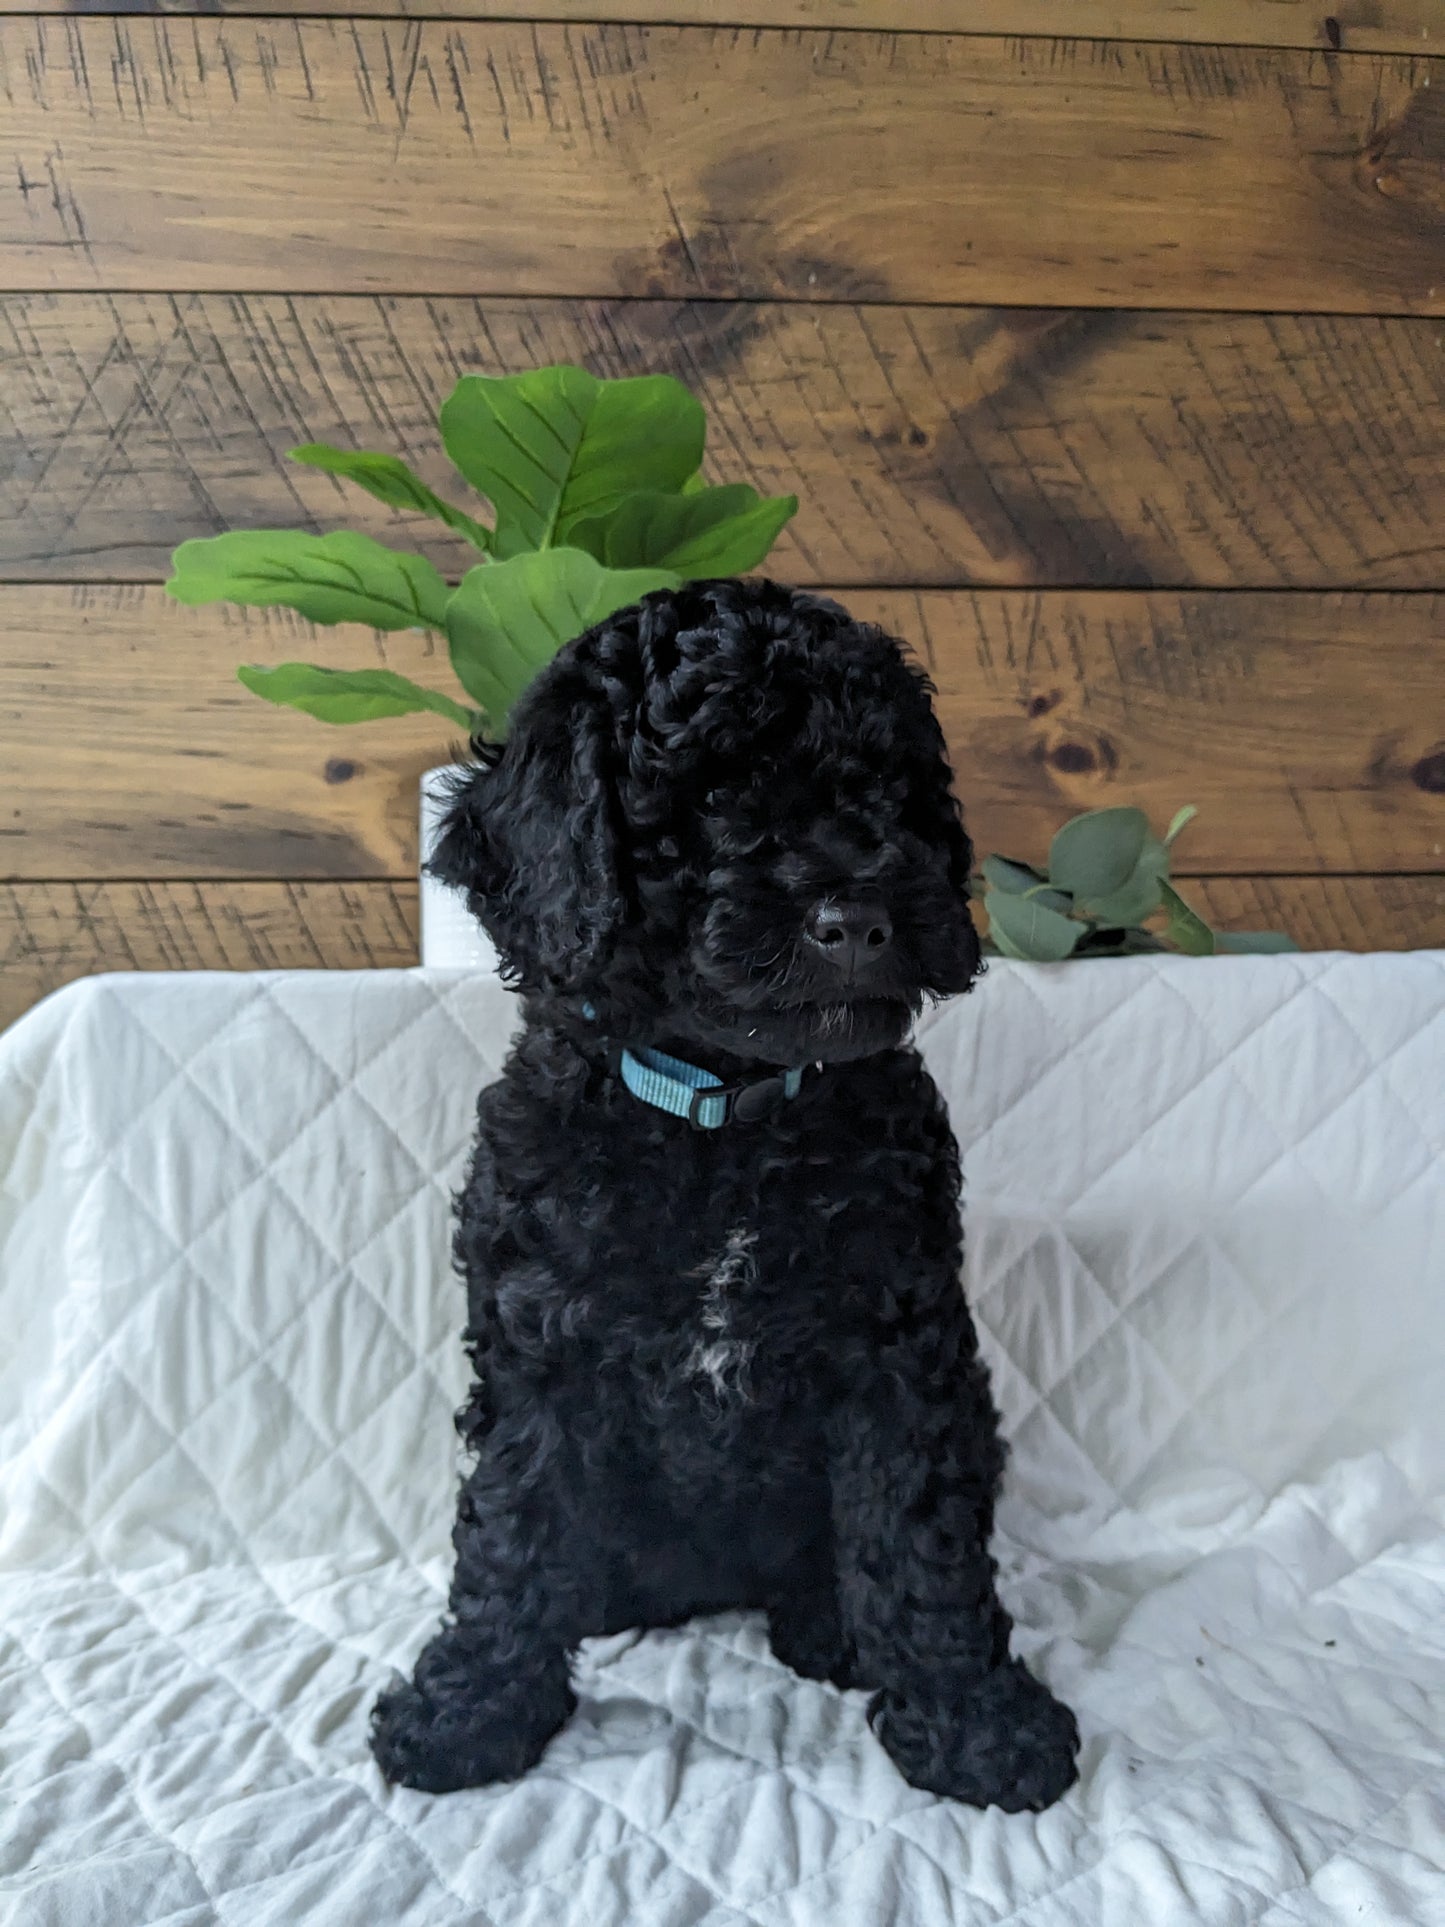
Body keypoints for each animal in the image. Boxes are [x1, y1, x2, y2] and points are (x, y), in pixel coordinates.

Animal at [373, 578, 1078, 1811]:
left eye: (888, 788)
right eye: (705, 794)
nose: (859, 919)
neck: (721, 1118)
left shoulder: (897, 1348)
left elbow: (921, 1541)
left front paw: (976, 1721)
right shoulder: (540, 1346)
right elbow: (508, 1527)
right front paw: (467, 1708)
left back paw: (829, 1626)